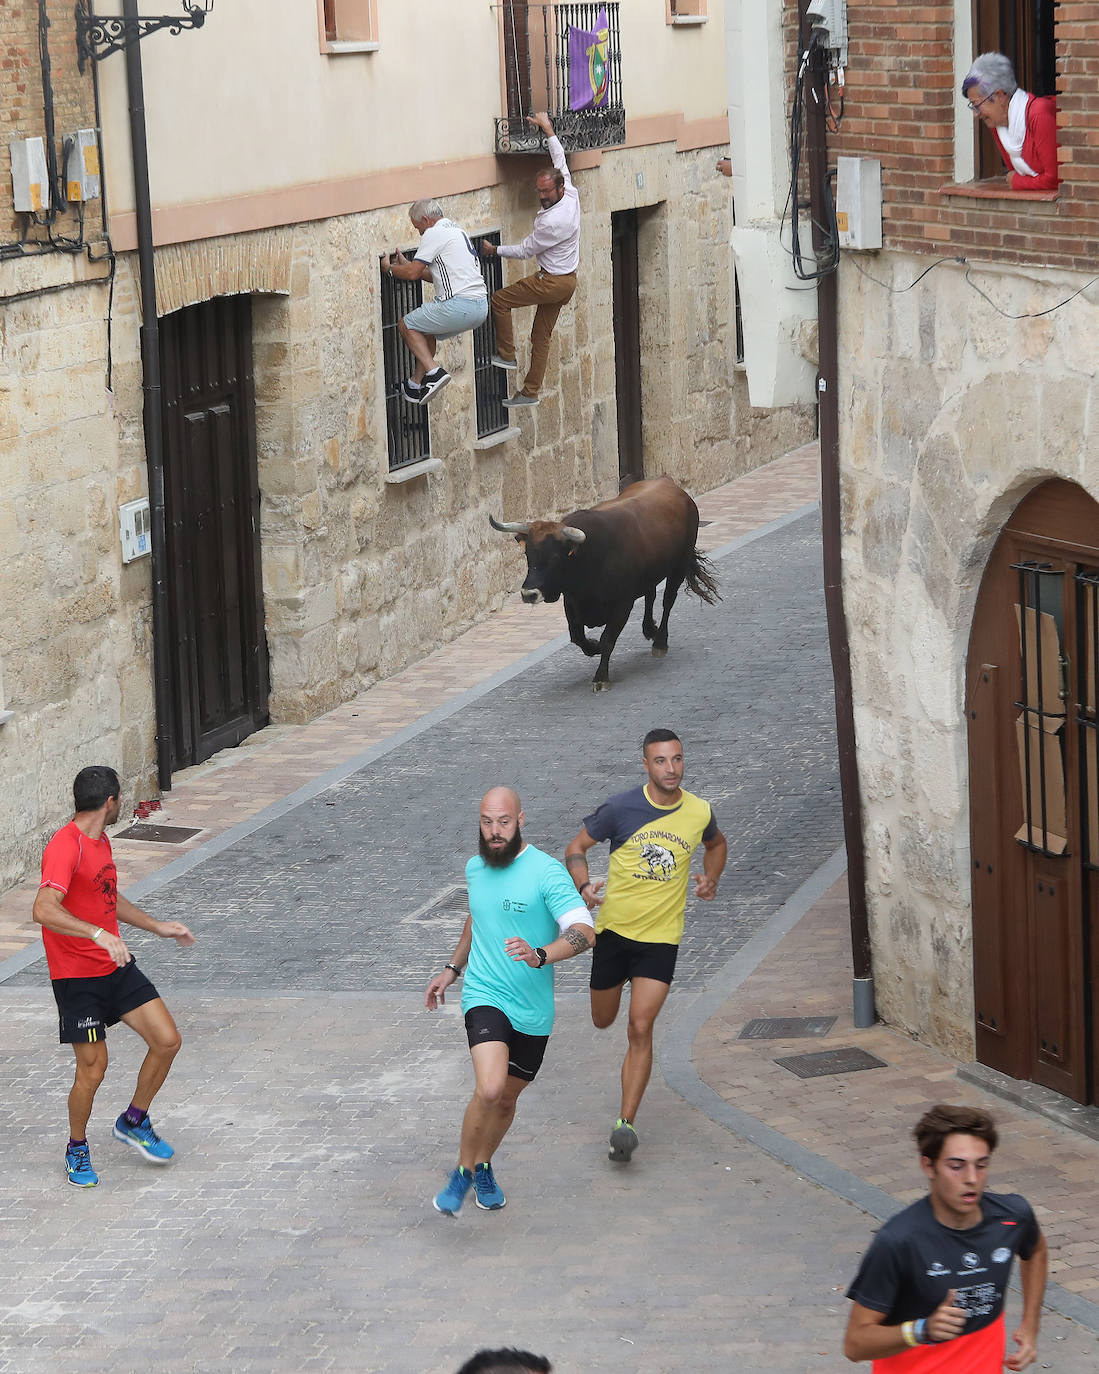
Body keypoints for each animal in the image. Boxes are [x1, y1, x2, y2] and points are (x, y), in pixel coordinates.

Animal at [491, 478, 719, 692]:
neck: (588, 558)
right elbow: (577, 636)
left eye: (555, 557)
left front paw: (601, 677)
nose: (528, 594)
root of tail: (669, 483)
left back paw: (660, 641)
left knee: (668, 601)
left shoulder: (622, 604)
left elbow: (608, 638)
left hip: (679, 565)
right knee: (650, 595)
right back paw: (649, 629)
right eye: (528, 554)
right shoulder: (571, 603)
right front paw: (594, 646)